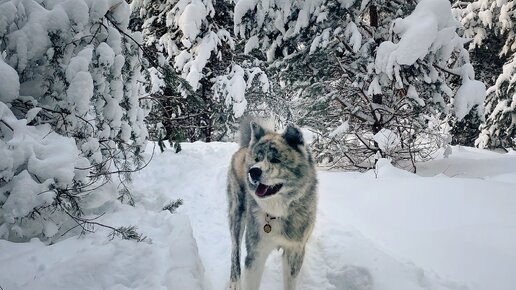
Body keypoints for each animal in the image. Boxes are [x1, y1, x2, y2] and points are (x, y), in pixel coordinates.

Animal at [227, 119, 316, 290]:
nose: (253, 171)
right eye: (257, 159)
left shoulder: (294, 251)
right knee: (235, 249)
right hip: (237, 215)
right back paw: (234, 282)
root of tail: (244, 147)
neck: (276, 214)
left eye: (275, 159)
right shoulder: (256, 252)